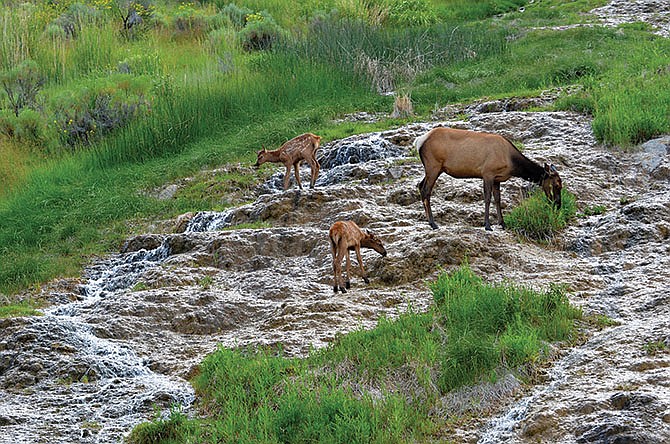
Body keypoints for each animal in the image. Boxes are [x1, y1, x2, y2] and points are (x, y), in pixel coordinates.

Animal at [418, 126, 564, 231]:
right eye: (557, 185)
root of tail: (420, 141)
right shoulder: (487, 173)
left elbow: (498, 199)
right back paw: (433, 223)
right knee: (426, 190)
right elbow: (487, 198)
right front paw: (487, 225)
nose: (558, 205)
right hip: (433, 166)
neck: (511, 162)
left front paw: (502, 223)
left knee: (420, 186)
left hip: (433, 169)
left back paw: (429, 221)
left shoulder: (497, 179)